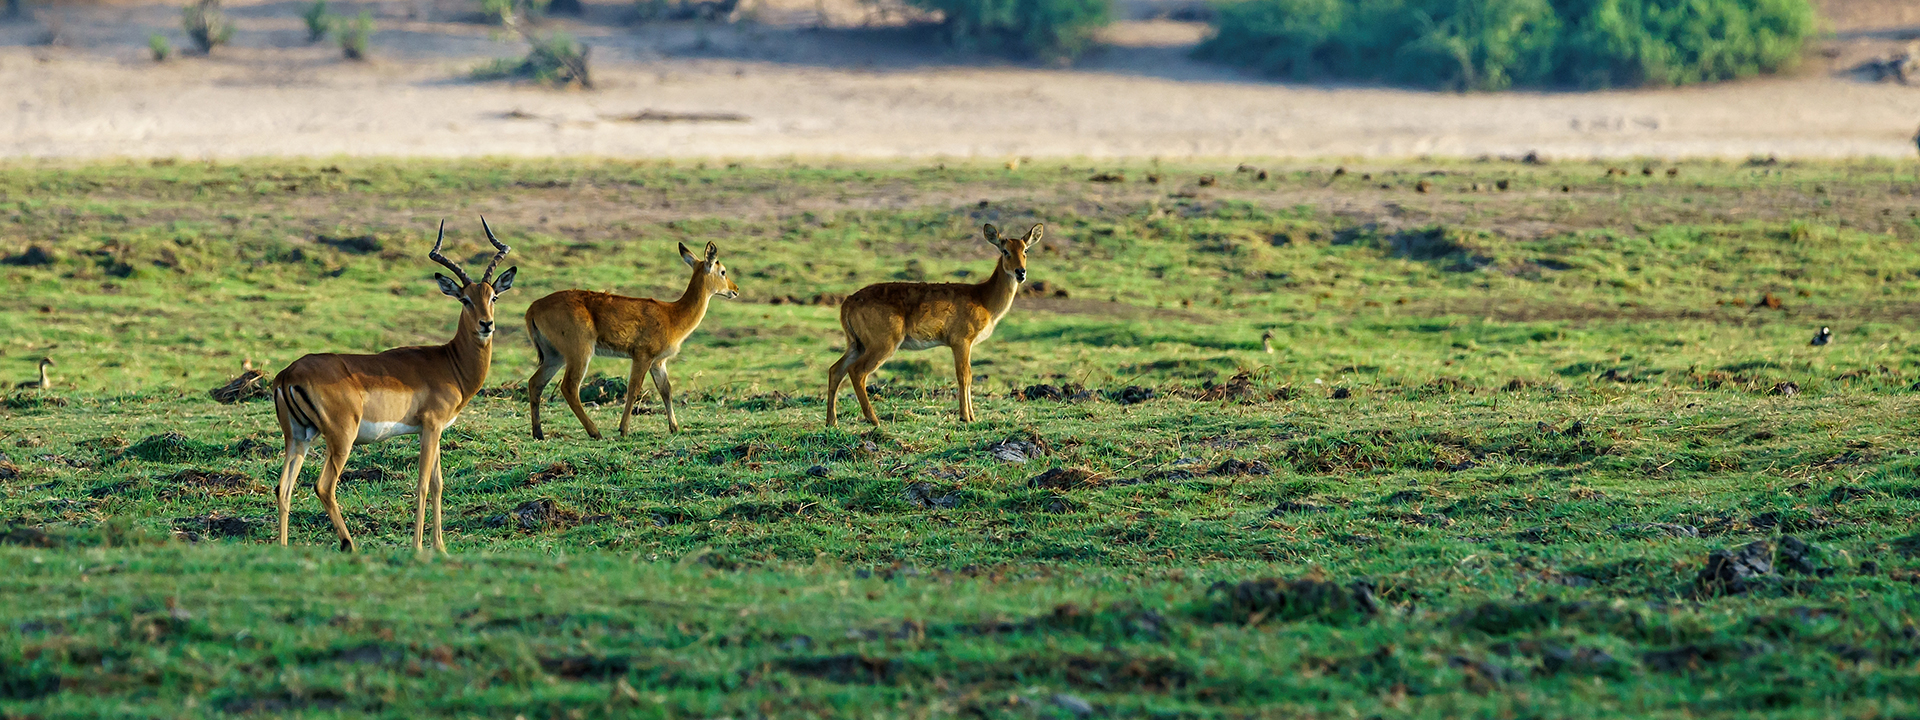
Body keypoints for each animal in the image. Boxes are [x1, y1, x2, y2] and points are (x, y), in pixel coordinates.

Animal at [270, 219, 516, 553]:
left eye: (493, 297)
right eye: (465, 299)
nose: (486, 324)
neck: (449, 362)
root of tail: (288, 374)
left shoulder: (432, 431)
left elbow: (438, 484)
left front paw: (440, 547)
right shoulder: (432, 426)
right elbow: (423, 484)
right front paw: (418, 548)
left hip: (298, 437)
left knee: (283, 487)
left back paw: (283, 549)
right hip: (341, 438)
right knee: (323, 486)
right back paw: (349, 544)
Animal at [523, 241, 739, 440]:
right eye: (722, 271)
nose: (735, 289)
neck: (672, 315)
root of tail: (533, 307)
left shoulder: (658, 362)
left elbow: (666, 390)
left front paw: (675, 428)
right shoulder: (642, 356)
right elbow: (634, 389)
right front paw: (623, 429)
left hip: (555, 356)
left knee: (535, 382)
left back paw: (539, 433)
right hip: (580, 353)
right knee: (569, 387)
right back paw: (595, 432)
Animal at [826, 222, 1039, 427]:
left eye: (1025, 250)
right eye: (1005, 250)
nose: (1020, 272)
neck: (983, 298)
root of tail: (848, 302)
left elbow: (968, 376)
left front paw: (971, 416)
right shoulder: (961, 342)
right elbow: (964, 375)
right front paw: (966, 417)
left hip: (856, 344)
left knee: (835, 369)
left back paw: (832, 421)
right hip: (882, 345)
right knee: (856, 371)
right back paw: (873, 419)